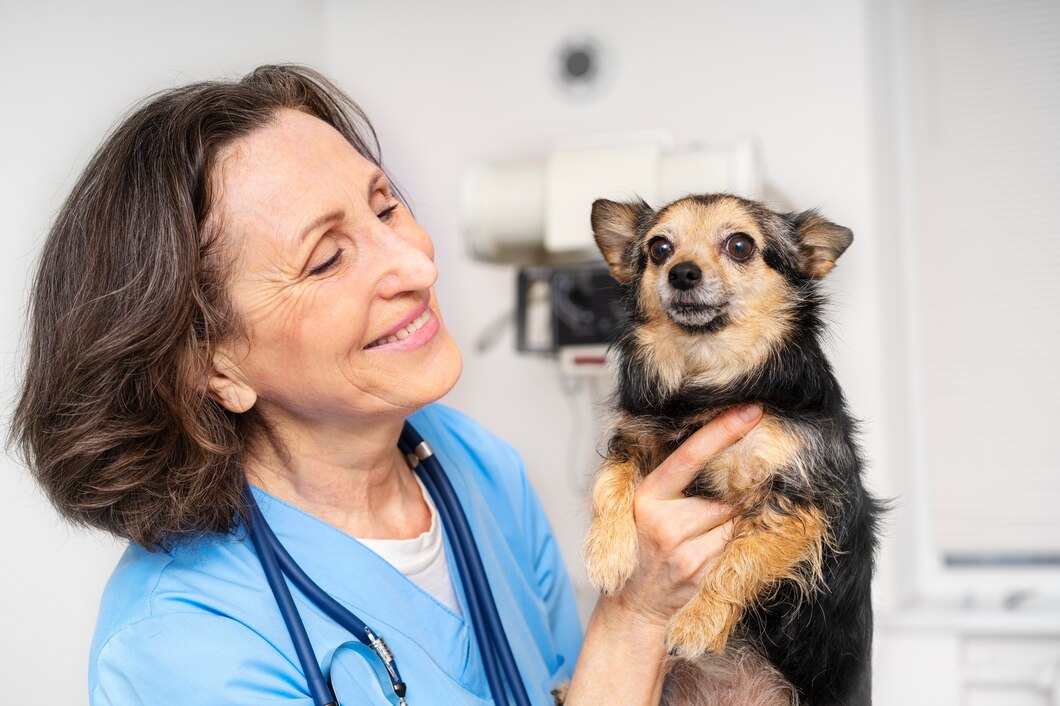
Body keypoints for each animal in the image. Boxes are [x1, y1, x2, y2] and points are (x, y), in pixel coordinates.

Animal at [580, 192, 877, 703]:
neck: (709, 385)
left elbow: (740, 560)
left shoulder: (800, 497)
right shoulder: (635, 439)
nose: (682, 272)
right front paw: (607, 555)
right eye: (659, 248)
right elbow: (609, 483)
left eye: (740, 245)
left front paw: (697, 623)